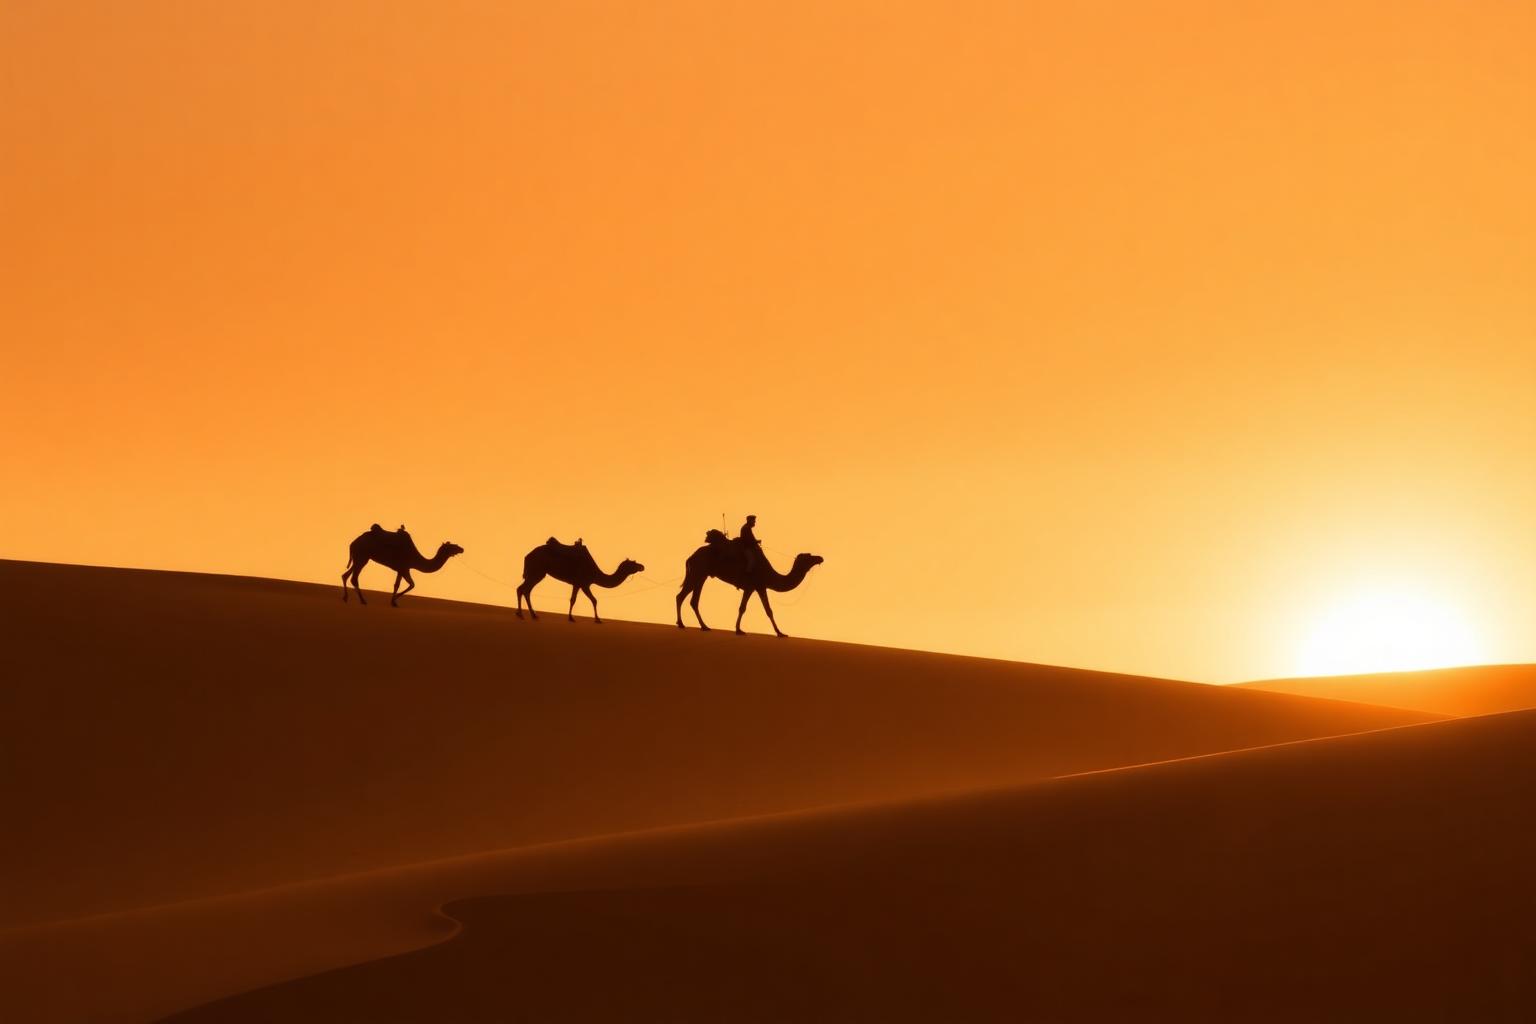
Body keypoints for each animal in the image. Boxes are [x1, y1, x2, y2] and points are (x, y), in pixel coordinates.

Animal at [516, 538, 645, 623]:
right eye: (633, 563)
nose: (642, 566)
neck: (594, 572)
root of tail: (527, 556)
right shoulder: (583, 583)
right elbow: (590, 600)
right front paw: (592, 619)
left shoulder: (578, 584)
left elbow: (579, 599)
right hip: (537, 571)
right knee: (523, 589)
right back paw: (523, 614)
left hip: (537, 573)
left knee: (525, 590)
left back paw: (530, 615)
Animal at [675, 530, 824, 637]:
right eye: (809, 556)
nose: (820, 558)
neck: (769, 573)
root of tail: (690, 557)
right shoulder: (755, 586)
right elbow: (751, 609)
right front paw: (740, 630)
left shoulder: (757, 587)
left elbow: (765, 610)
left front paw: (779, 632)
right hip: (697, 572)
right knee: (681, 596)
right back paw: (682, 624)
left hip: (702, 575)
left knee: (693, 601)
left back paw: (704, 626)